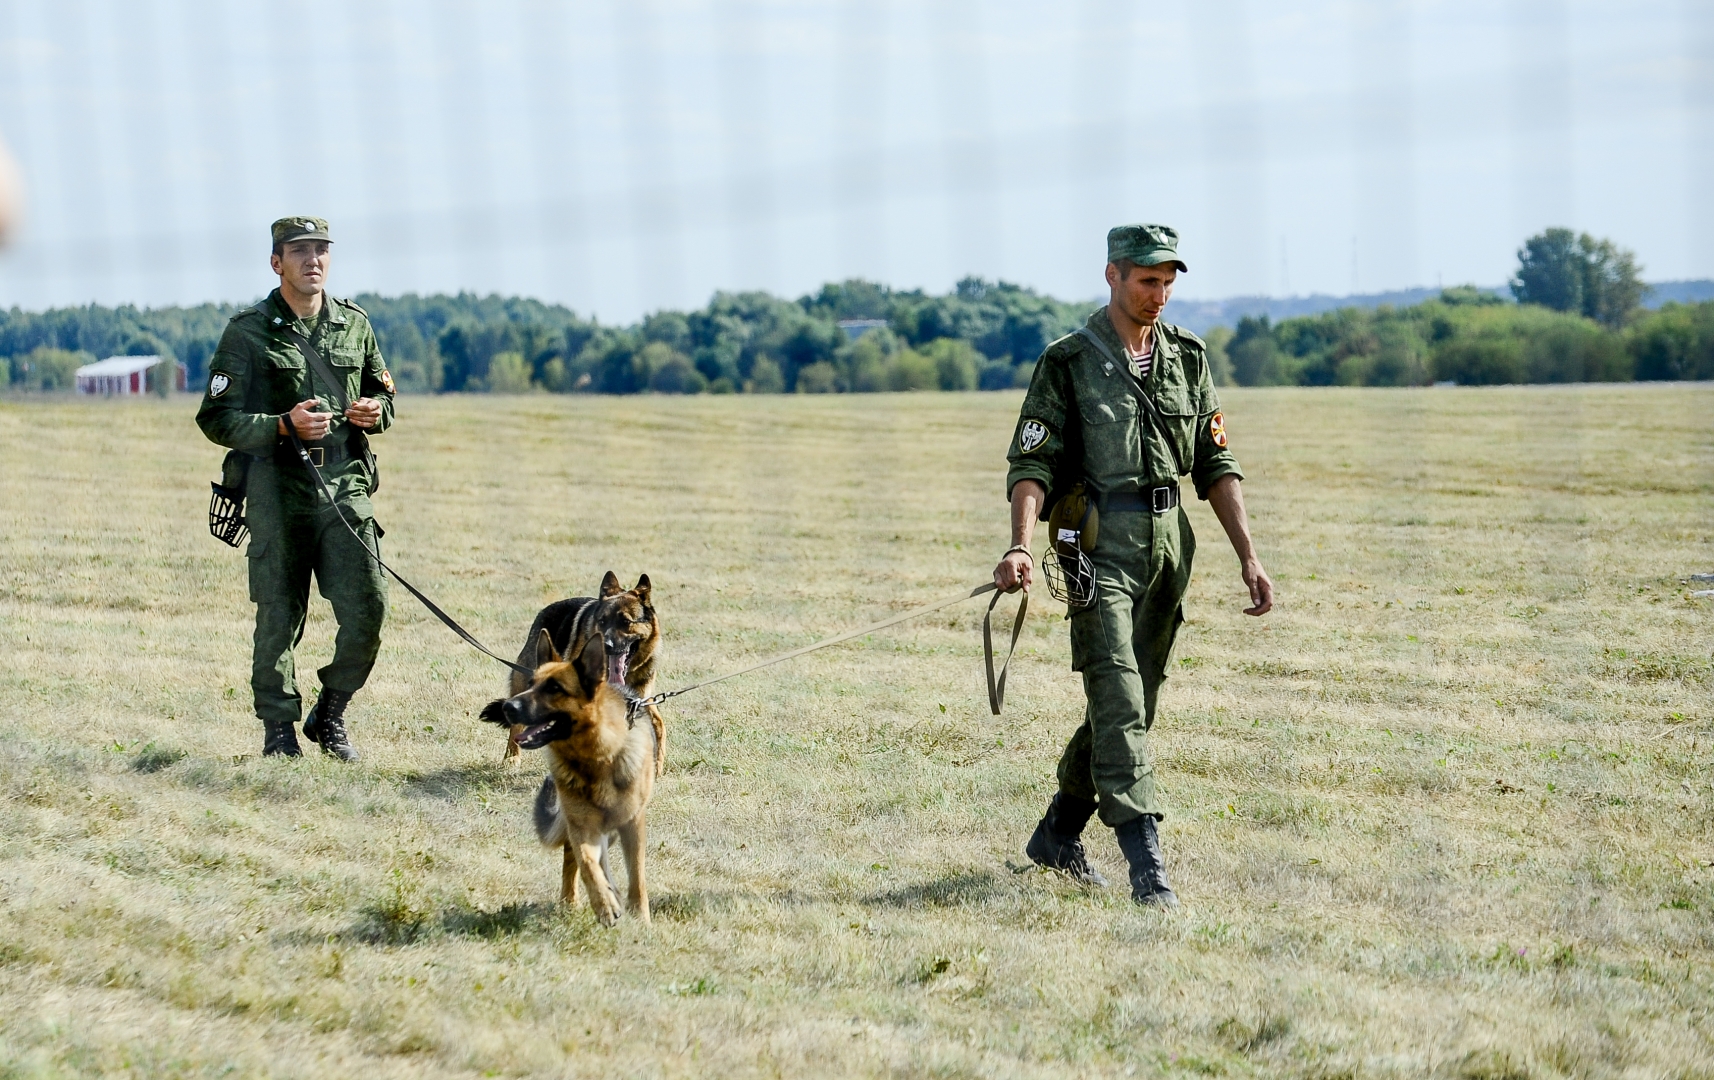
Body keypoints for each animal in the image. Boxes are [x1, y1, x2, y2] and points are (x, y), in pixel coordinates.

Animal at [476, 634, 654, 932]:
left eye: (554, 688)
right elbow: (587, 864)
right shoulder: (580, 826)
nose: (508, 706)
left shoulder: (632, 824)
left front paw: (640, 916)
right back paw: (572, 901)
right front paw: (604, 904)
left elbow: (637, 875)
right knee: (576, 861)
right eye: (532, 684)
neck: (596, 759)